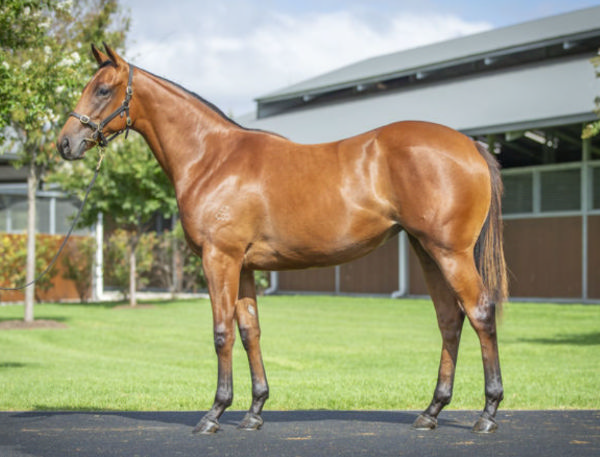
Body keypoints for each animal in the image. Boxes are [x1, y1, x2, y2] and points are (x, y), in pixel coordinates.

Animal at [55, 44, 506, 432]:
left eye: (102, 89)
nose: (65, 143)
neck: (212, 158)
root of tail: (470, 144)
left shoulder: (219, 259)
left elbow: (221, 332)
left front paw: (215, 412)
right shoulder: (244, 266)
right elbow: (249, 332)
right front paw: (254, 410)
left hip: (450, 252)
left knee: (480, 313)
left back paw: (487, 412)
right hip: (427, 251)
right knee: (450, 320)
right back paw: (431, 411)